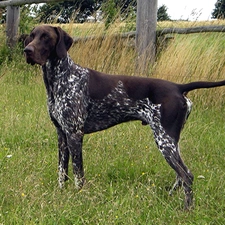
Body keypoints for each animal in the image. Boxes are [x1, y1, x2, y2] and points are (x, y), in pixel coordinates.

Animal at [24, 25, 225, 209]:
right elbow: (61, 171)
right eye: (32, 36)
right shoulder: (61, 134)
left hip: (164, 141)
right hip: (171, 141)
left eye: (46, 37)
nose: (27, 50)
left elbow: (78, 173)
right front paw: (61, 194)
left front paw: (79, 198)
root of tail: (178, 87)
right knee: (180, 175)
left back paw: (187, 210)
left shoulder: (75, 134)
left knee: (187, 175)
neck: (59, 79)